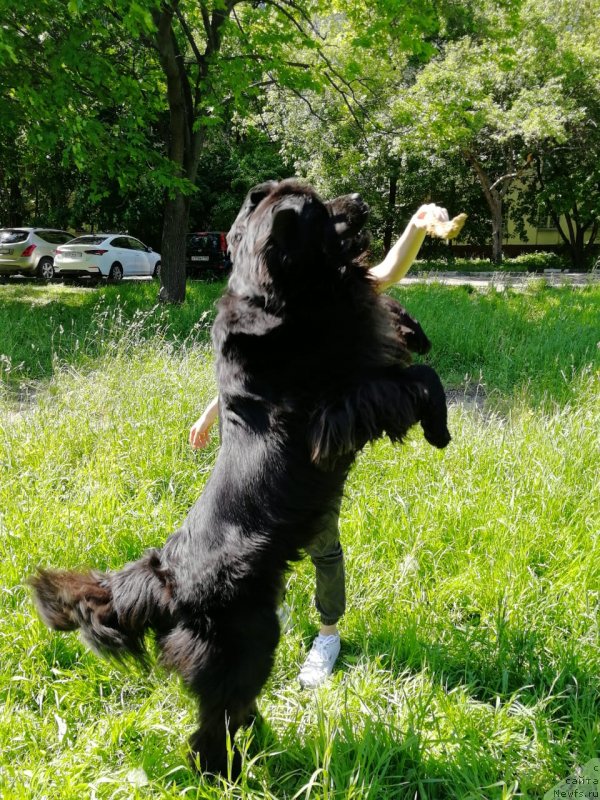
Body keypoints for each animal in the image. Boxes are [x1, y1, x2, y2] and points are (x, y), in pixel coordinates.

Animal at [29, 180, 450, 776]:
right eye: (317, 209)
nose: (359, 197)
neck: (280, 293)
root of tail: (166, 579)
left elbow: (386, 313)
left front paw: (415, 327)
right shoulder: (339, 407)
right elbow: (418, 378)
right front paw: (439, 429)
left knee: (229, 711)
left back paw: (258, 746)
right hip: (248, 641)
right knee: (216, 720)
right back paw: (231, 769)